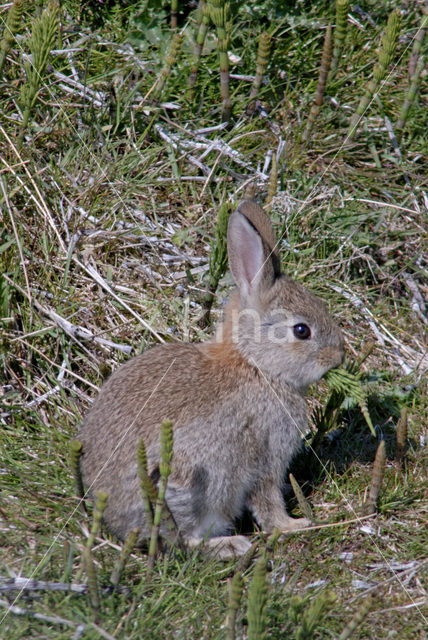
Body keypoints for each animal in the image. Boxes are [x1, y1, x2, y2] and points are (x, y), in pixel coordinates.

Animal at [77, 200, 344, 560]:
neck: (255, 365)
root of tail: (114, 520)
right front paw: (294, 525)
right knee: (182, 542)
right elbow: (267, 499)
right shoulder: (266, 456)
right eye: (302, 331)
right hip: (193, 487)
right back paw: (231, 545)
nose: (339, 356)